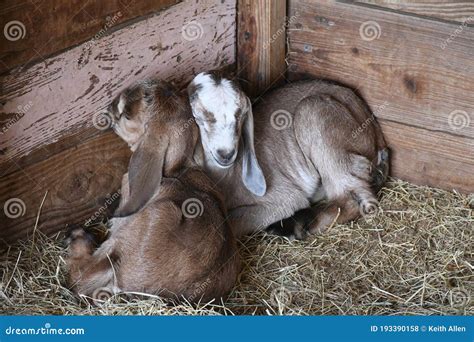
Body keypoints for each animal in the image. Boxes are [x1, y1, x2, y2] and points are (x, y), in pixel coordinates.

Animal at [188, 72, 388, 238]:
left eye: (240, 115)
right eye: (199, 116)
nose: (226, 154)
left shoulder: (284, 198)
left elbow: (231, 222)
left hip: (316, 114)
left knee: (355, 198)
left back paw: (294, 227)